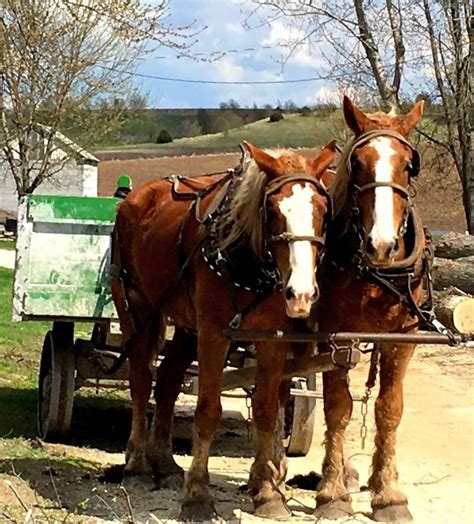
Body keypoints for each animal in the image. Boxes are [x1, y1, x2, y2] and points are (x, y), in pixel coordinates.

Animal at [110, 140, 336, 520]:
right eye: (272, 209)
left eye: (322, 209)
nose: (302, 293)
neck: (246, 258)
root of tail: (134, 197)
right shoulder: (214, 334)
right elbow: (207, 411)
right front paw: (198, 496)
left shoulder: (272, 338)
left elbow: (267, 409)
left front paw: (268, 494)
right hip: (134, 306)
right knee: (141, 379)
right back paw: (137, 464)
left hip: (188, 326)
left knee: (168, 379)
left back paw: (165, 463)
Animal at [314, 97, 426, 520]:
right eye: (358, 164)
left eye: (408, 165)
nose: (381, 244)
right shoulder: (331, 335)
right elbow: (337, 407)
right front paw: (331, 492)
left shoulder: (403, 338)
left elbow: (388, 408)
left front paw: (388, 492)